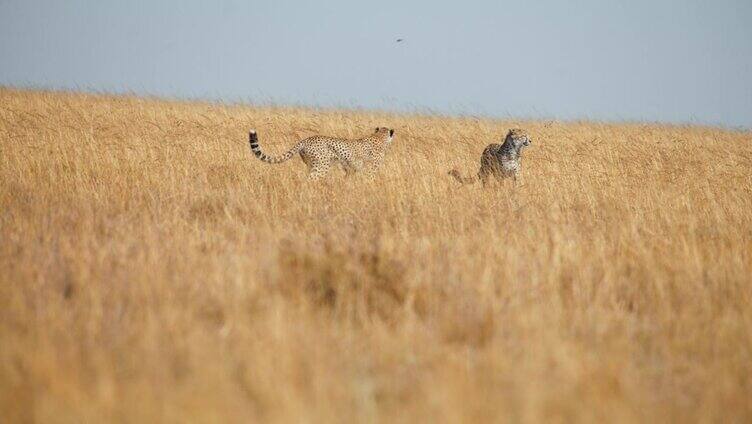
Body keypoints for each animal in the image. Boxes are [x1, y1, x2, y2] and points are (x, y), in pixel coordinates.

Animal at [250, 126, 396, 179]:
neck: (379, 136)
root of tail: (306, 139)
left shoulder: (350, 168)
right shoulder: (372, 167)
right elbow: (371, 177)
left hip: (311, 164)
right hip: (322, 165)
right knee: (310, 179)